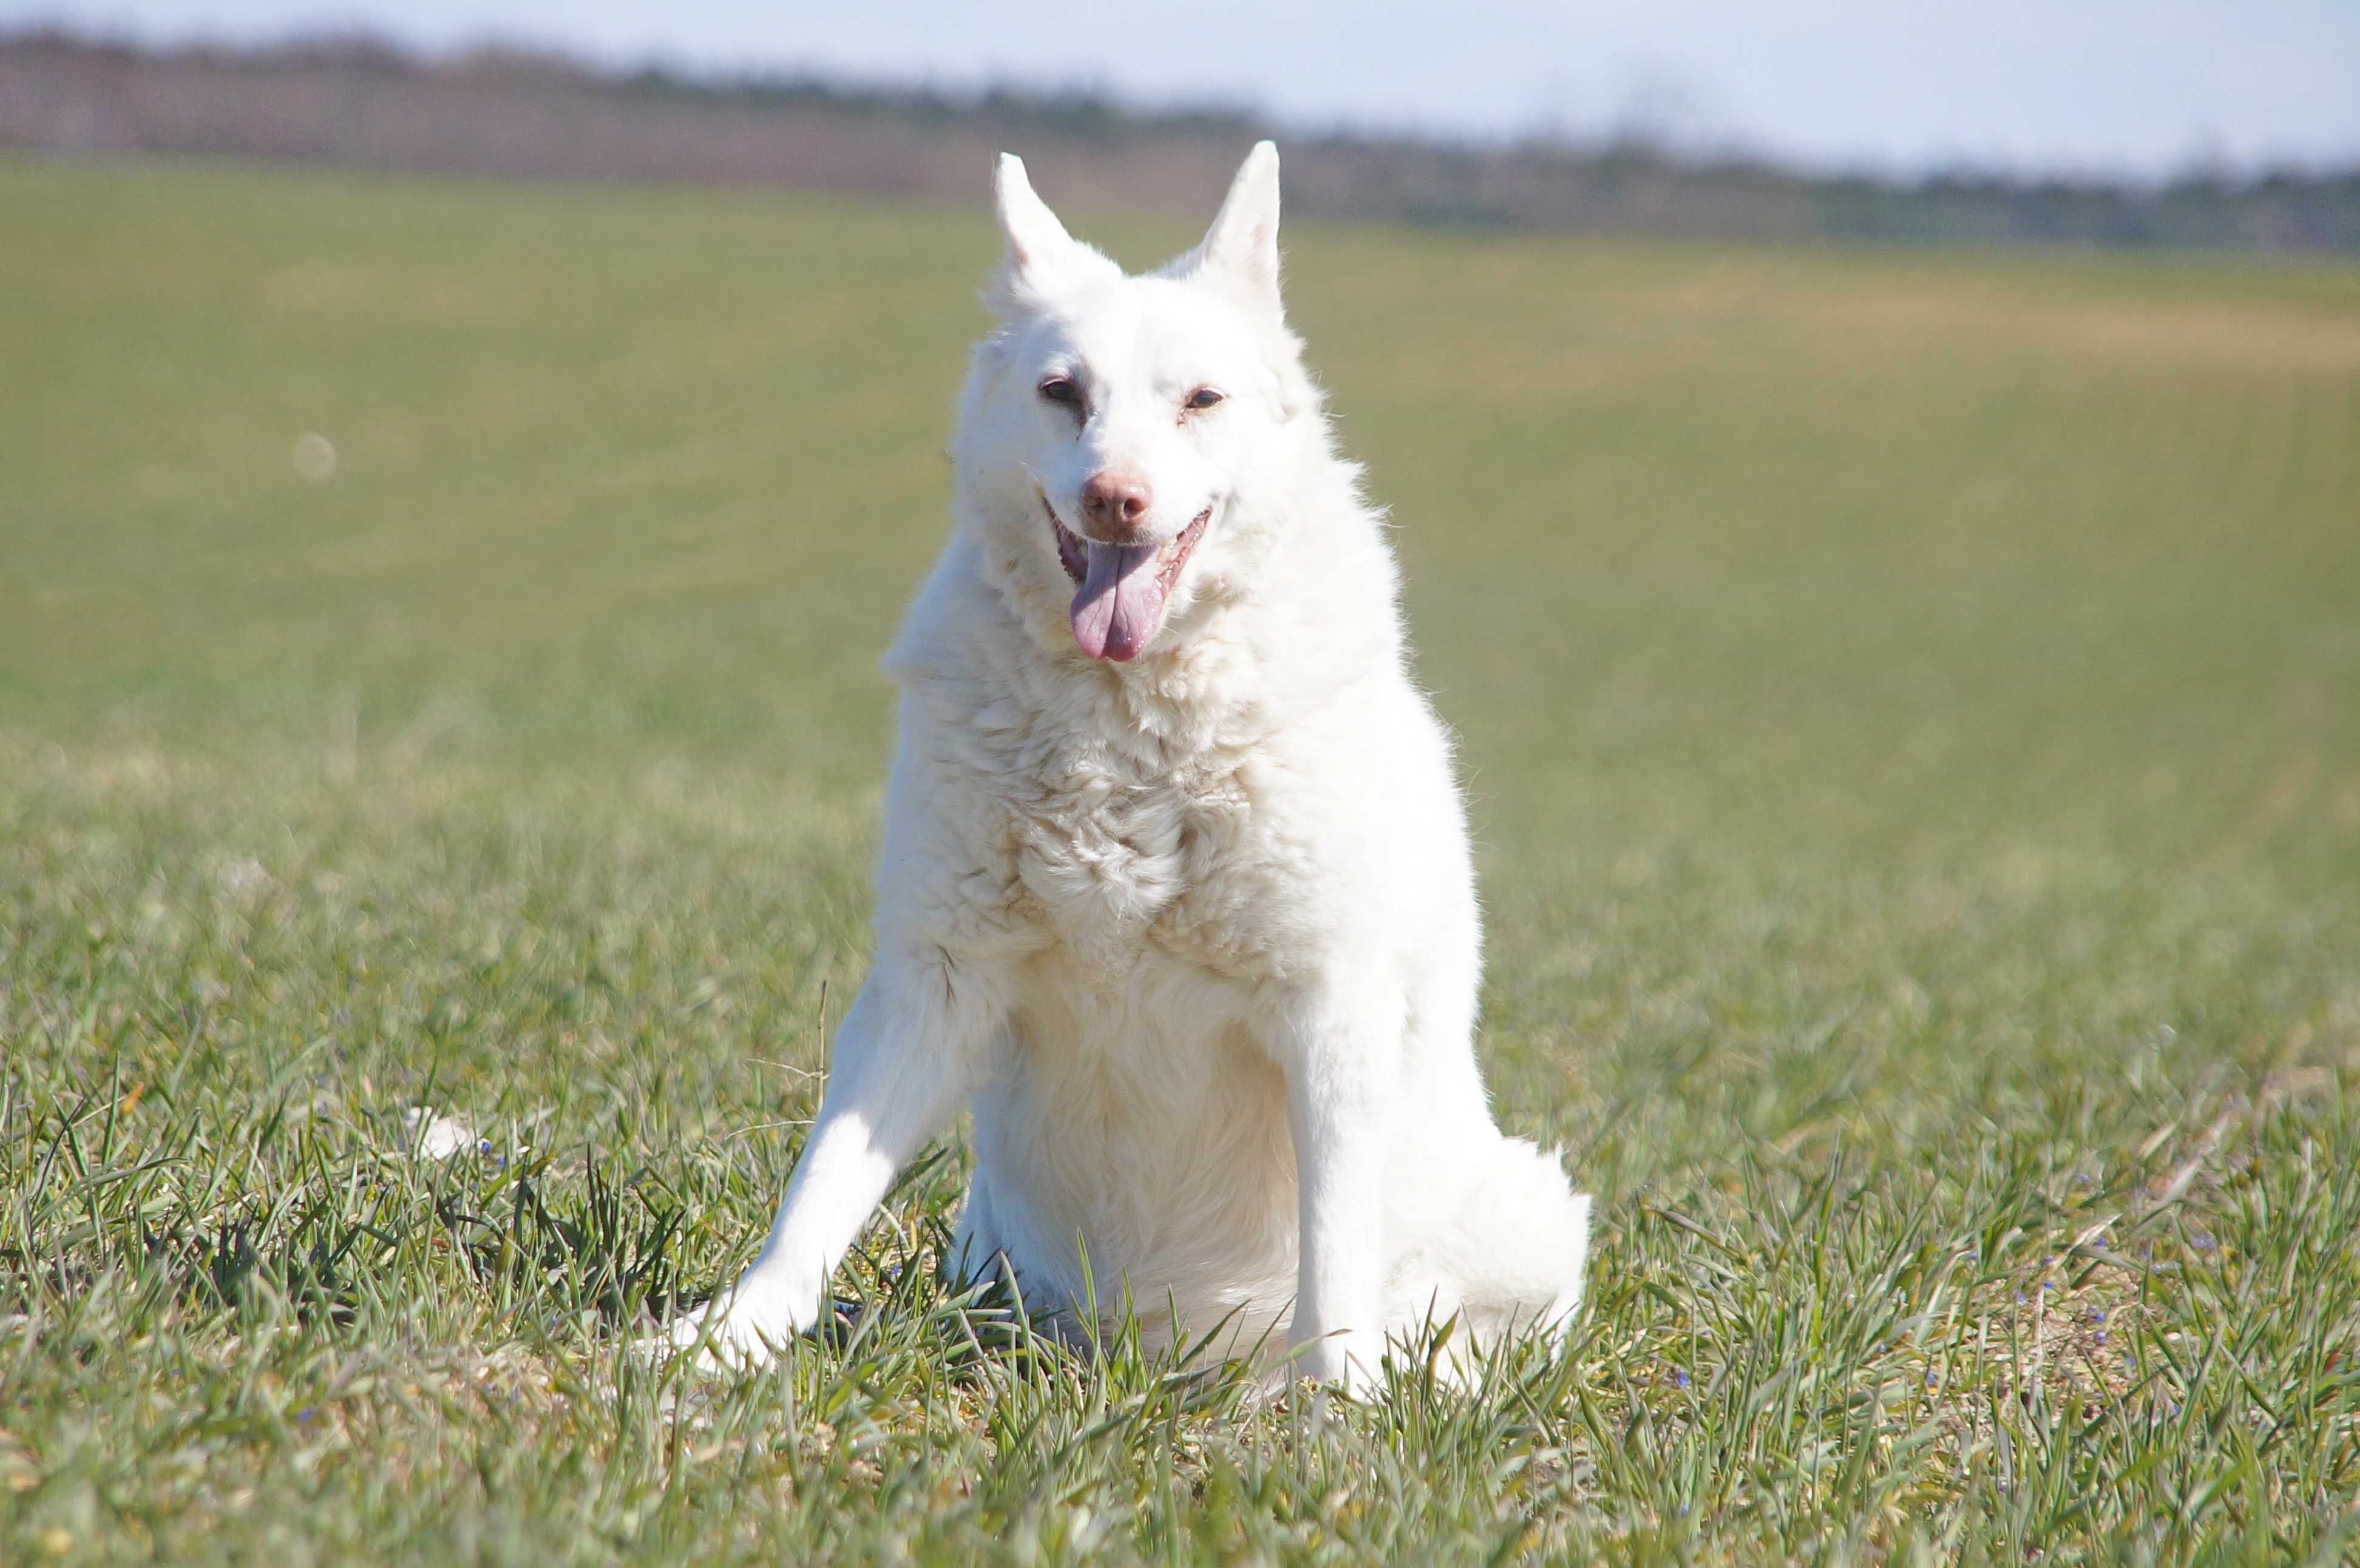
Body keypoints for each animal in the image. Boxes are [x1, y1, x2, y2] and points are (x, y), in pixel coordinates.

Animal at [670, 137, 1585, 1386]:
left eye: (1200, 400)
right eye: (1064, 394)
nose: (1115, 498)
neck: (1126, 724)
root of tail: (1157, 1357)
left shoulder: (1331, 1013)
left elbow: (1336, 1269)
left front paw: (1340, 1415)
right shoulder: (933, 978)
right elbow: (818, 1195)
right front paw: (726, 1342)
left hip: (1529, 1211)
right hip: (991, 1256)